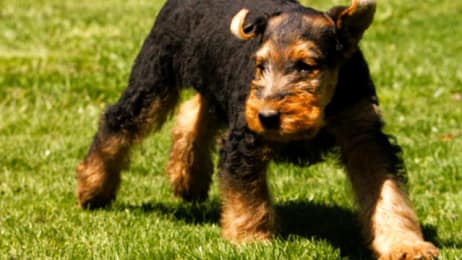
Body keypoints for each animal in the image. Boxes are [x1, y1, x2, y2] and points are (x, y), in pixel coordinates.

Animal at [76, 1, 440, 258]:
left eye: (307, 65)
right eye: (260, 64)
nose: (267, 116)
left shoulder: (364, 136)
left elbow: (388, 193)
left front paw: (405, 245)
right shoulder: (245, 137)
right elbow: (246, 195)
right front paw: (251, 240)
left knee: (193, 114)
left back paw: (188, 178)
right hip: (153, 78)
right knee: (116, 124)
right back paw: (93, 188)